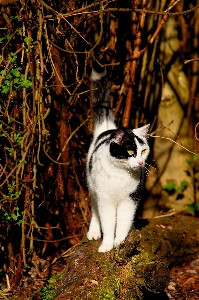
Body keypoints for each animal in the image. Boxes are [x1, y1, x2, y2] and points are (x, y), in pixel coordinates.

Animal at [86, 66, 150, 253]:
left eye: (144, 151)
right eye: (130, 151)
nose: (140, 162)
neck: (121, 175)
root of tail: (108, 128)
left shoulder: (130, 199)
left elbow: (122, 223)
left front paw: (121, 242)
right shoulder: (105, 200)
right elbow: (108, 224)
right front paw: (107, 245)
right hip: (92, 187)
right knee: (95, 210)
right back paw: (94, 232)